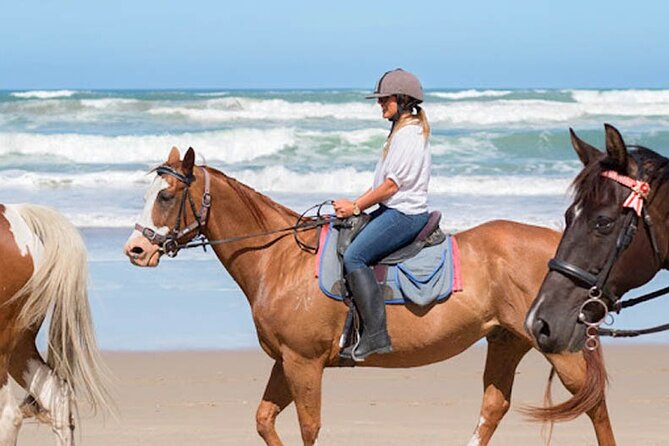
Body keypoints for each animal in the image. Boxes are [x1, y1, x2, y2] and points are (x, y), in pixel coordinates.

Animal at [123, 146, 617, 446]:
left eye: (166, 196)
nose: (136, 250)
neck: (281, 259)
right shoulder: (286, 361)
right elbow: (264, 420)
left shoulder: (303, 363)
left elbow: (309, 428)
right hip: (507, 341)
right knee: (494, 408)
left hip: (559, 349)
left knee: (594, 405)